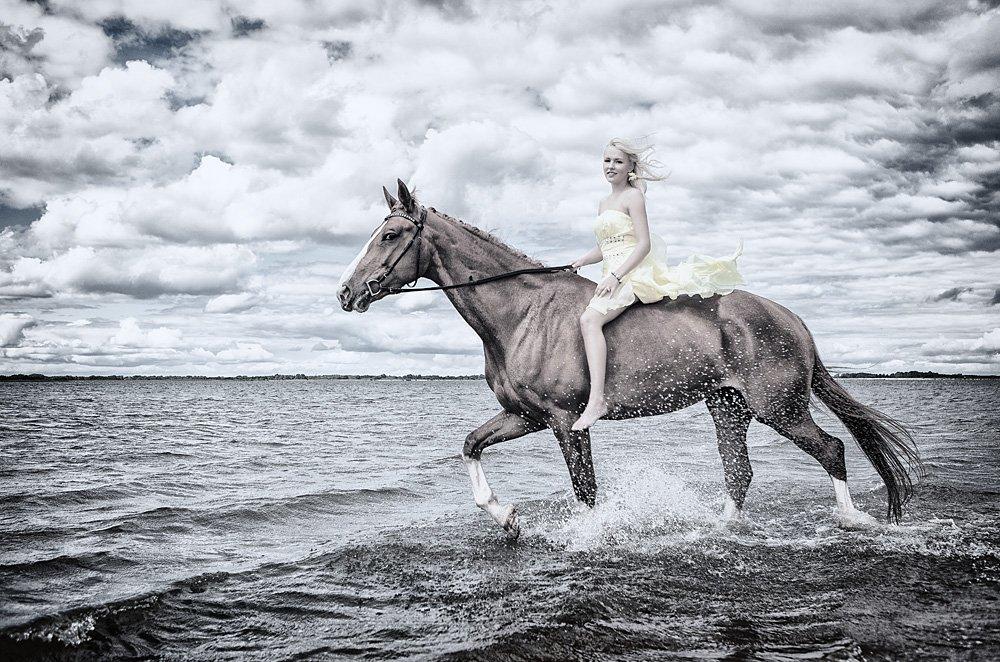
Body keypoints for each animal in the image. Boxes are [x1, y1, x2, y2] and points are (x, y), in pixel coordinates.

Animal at [338, 180, 920, 540]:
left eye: (390, 234)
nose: (346, 293)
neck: (523, 312)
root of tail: (790, 317)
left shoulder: (565, 421)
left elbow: (586, 491)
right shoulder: (524, 416)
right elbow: (471, 444)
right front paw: (506, 518)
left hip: (779, 406)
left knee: (831, 449)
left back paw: (854, 522)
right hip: (728, 407)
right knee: (740, 472)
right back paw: (719, 529)